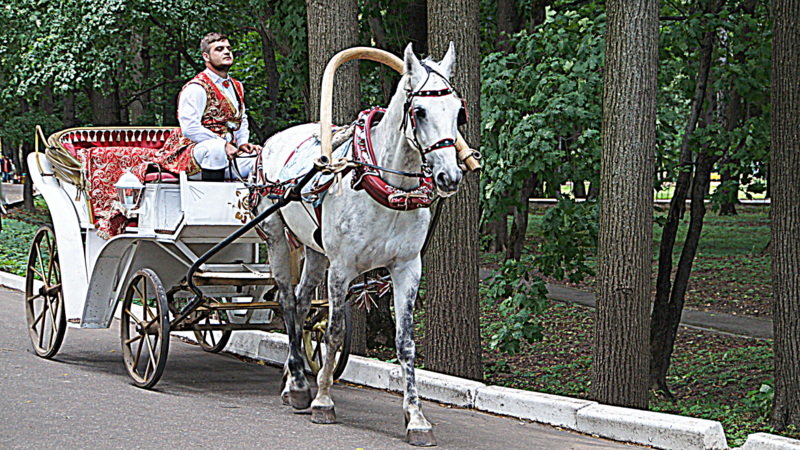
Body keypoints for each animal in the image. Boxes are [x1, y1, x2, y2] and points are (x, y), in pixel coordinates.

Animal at [260, 44, 466, 444]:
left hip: (315, 251)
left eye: (458, 112)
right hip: (277, 236)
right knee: (288, 301)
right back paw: (298, 384)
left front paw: (416, 417)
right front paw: (323, 400)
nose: (449, 177)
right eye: (419, 111)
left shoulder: (407, 268)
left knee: (304, 302)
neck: (387, 187)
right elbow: (336, 331)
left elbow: (405, 342)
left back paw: (293, 377)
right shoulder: (342, 268)